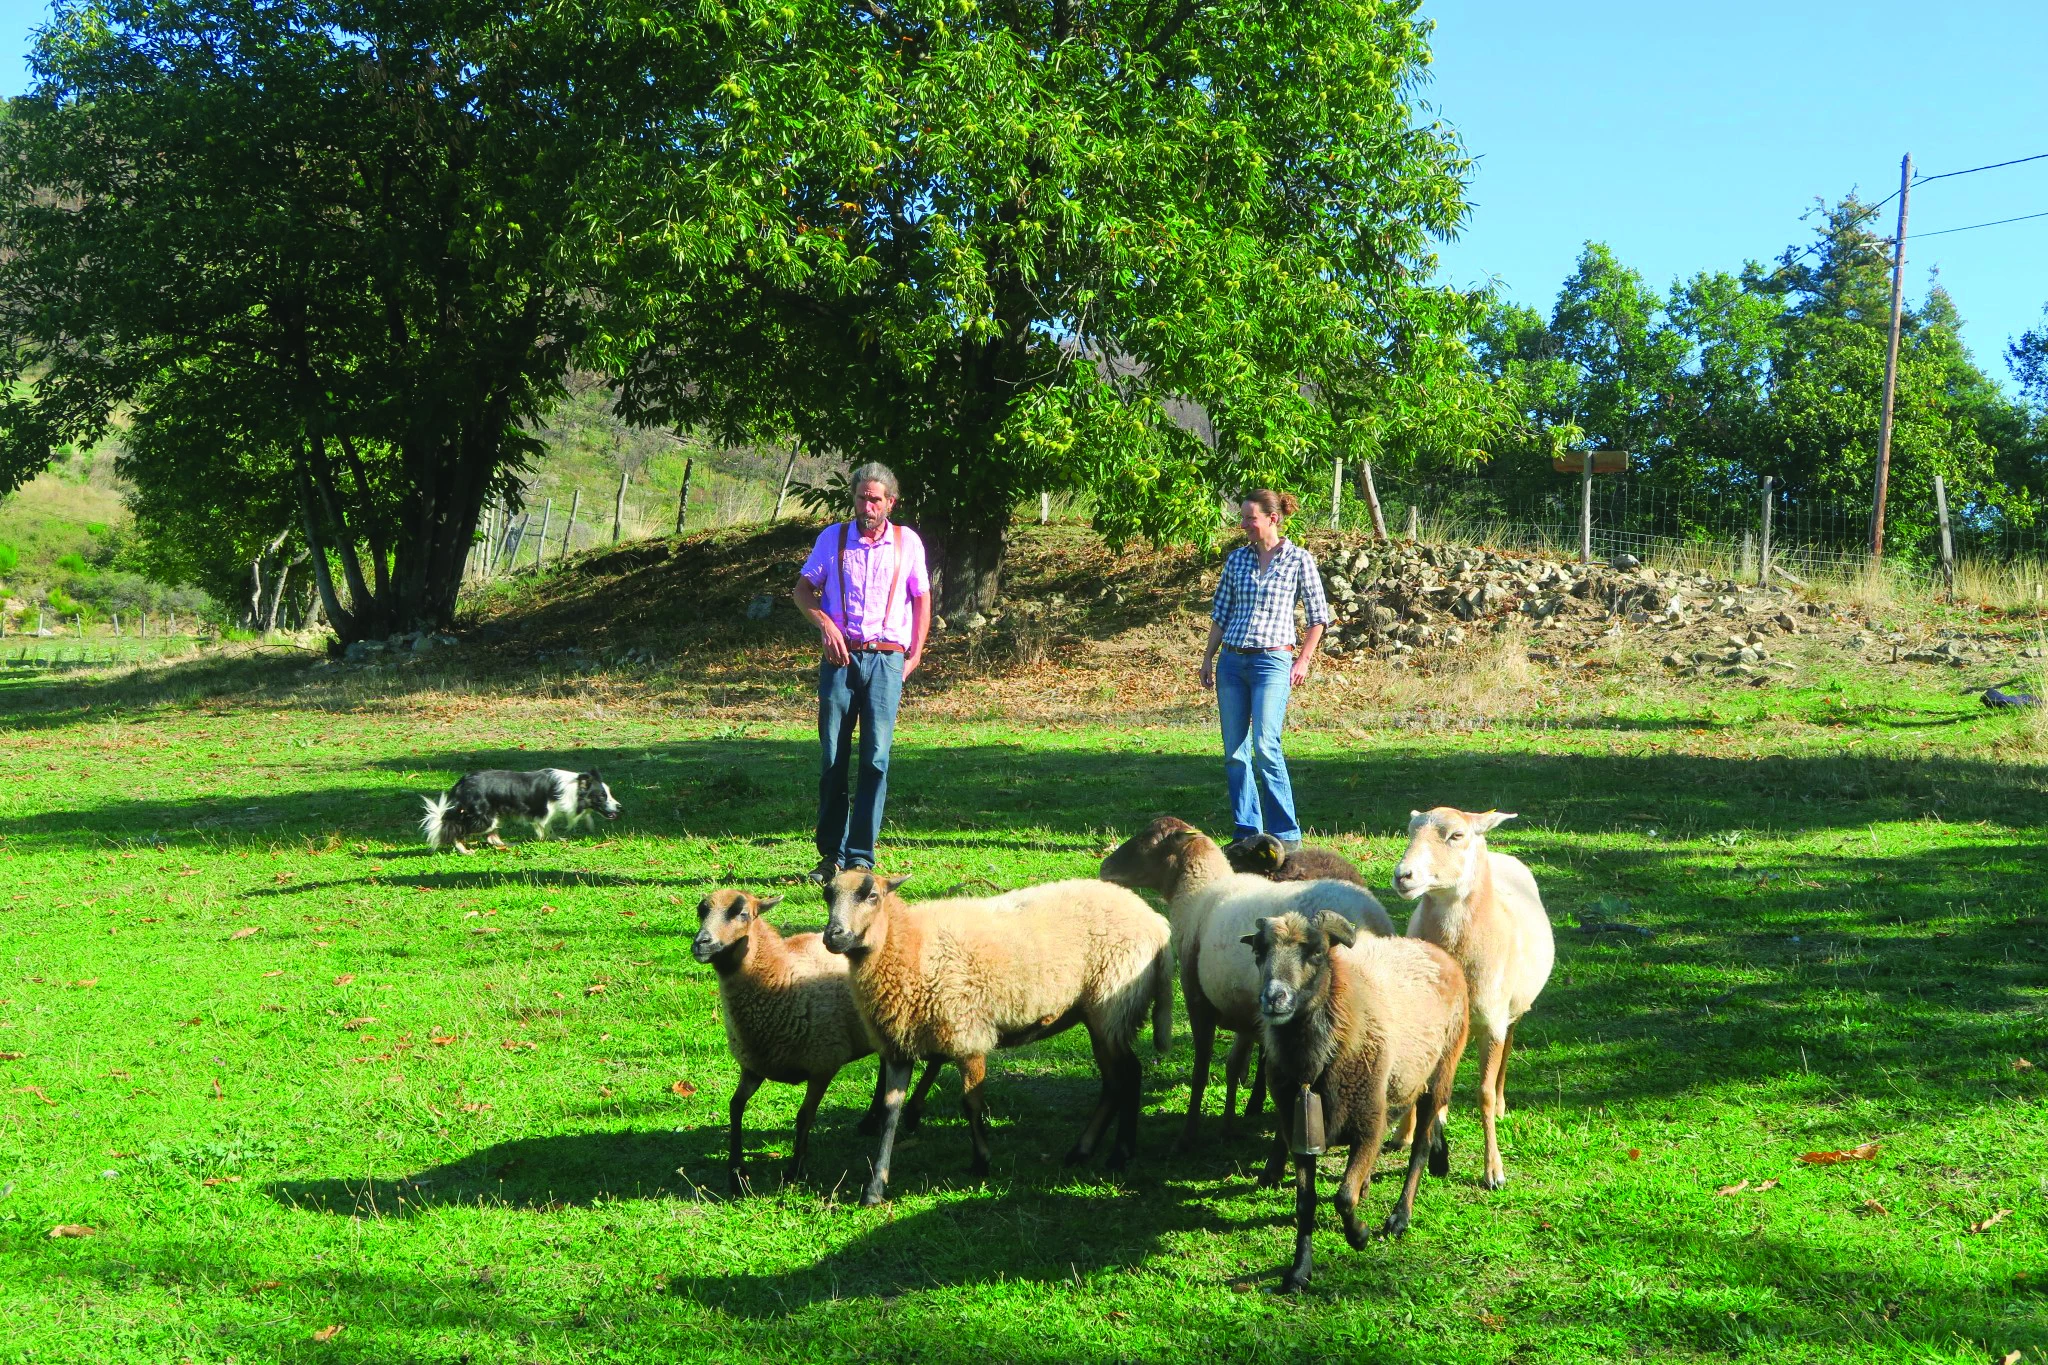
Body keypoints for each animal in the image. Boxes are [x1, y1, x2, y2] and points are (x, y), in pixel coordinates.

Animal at [688, 892, 942, 1186]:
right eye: (701, 911)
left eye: (742, 914)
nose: (701, 943)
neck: (780, 975)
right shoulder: (754, 1066)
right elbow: (736, 1106)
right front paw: (737, 1170)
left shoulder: (823, 1064)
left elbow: (804, 1116)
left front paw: (795, 1169)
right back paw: (871, 1120)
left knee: (937, 1057)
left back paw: (912, 1112)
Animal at [815, 871, 1171, 1203]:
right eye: (827, 895)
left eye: (872, 895)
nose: (833, 937)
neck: (911, 947)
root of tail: (1157, 923)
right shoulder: (899, 1046)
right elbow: (890, 1113)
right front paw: (875, 1187)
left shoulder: (967, 1035)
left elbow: (971, 1103)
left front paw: (981, 1162)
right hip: (1101, 1018)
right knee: (1113, 1083)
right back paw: (1082, 1151)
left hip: (1113, 1007)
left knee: (1130, 1074)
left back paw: (1120, 1154)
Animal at [1097, 818, 1400, 1146]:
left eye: (1151, 841)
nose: (1104, 867)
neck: (1198, 894)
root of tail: (1372, 919)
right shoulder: (1245, 1012)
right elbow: (1233, 1067)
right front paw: (1229, 1125)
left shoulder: (1197, 1000)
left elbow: (1201, 1070)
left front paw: (1188, 1135)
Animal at [1236, 912, 1466, 1301]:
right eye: (1258, 952)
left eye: (1317, 952)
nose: (1274, 998)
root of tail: (1435, 951)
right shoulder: (1299, 1134)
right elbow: (1306, 1202)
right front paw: (1298, 1272)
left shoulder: (1370, 1125)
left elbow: (1343, 1197)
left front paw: (1360, 1235)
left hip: (1443, 1068)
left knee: (1418, 1145)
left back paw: (1400, 1216)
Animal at [1392, 806, 1548, 1186]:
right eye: (1410, 831)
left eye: (1457, 836)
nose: (1403, 876)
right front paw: (1404, 1134)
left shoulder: (1492, 1021)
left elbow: (1484, 1094)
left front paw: (1494, 1170)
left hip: (1512, 1008)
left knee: (1508, 1046)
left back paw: (1503, 1104)